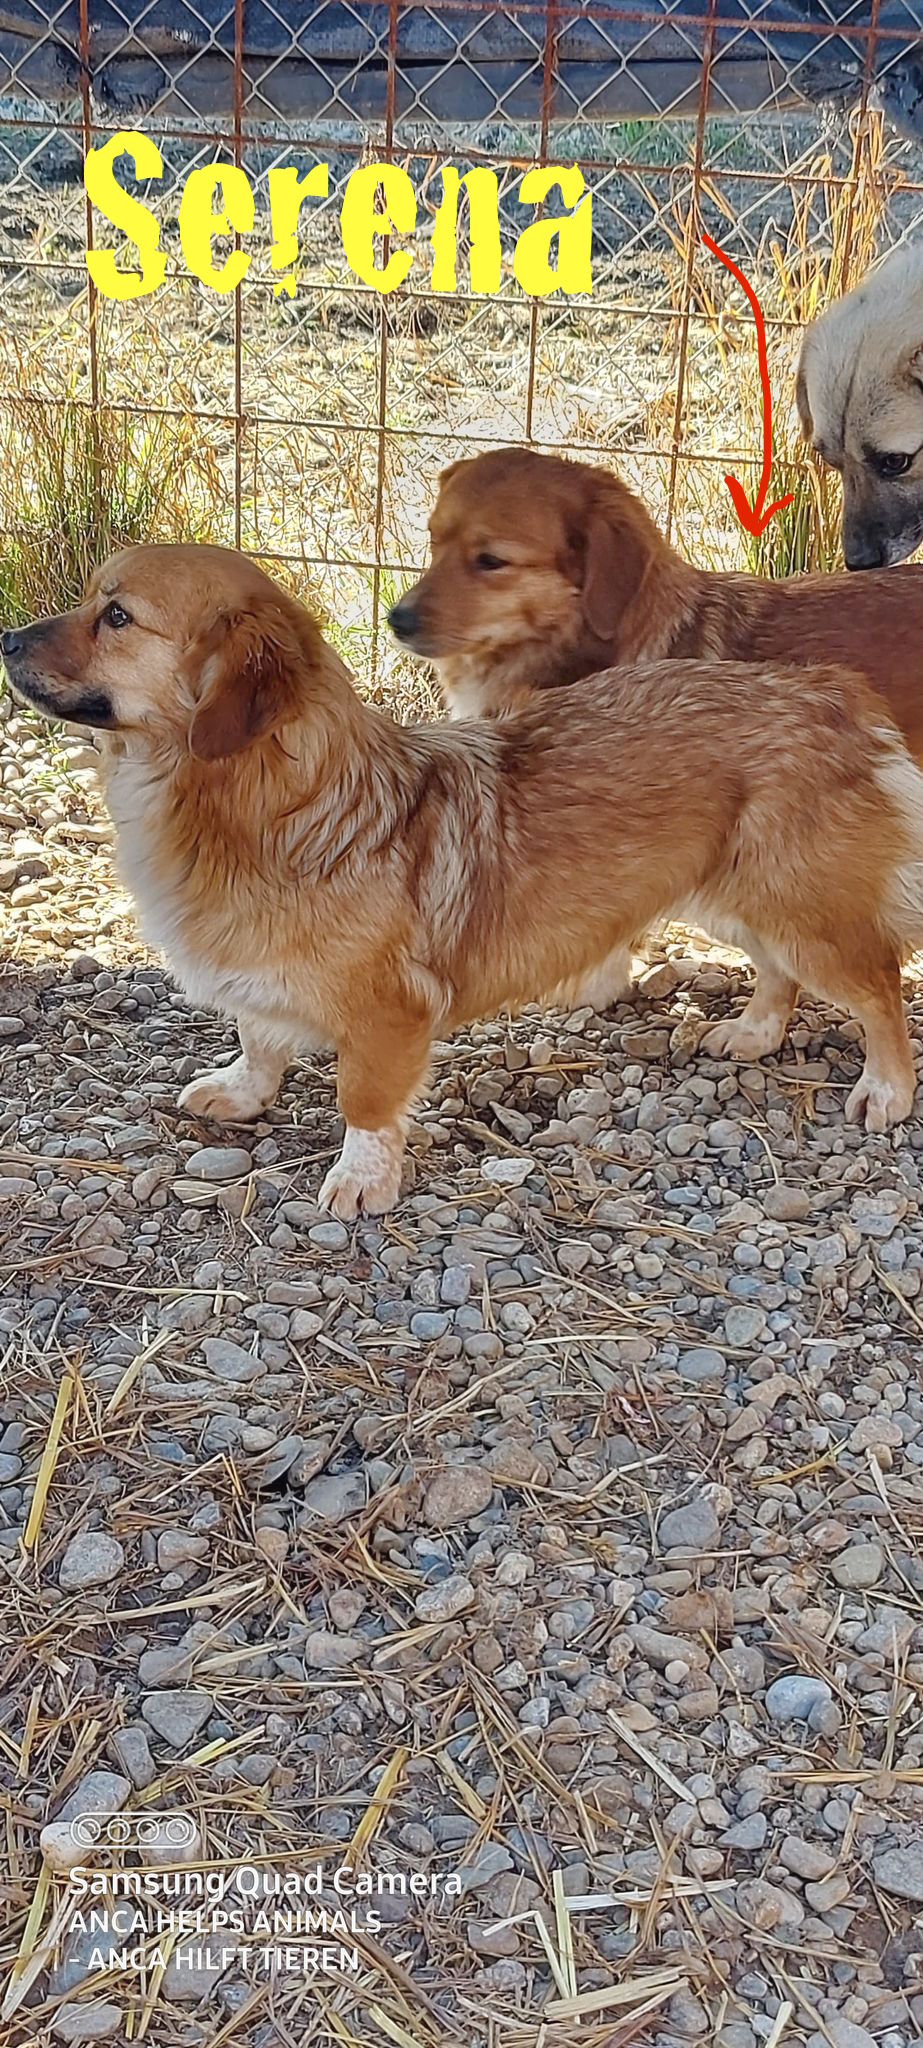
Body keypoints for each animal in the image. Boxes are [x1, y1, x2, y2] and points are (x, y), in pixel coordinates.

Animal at [6, 545, 923, 1221]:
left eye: (117, 616)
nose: (8, 639)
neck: (269, 803)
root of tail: (826, 691)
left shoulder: (387, 1015)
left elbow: (364, 1104)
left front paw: (363, 1181)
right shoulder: (261, 977)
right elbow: (260, 1038)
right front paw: (242, 1091)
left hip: (796, 907)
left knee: (877, 988)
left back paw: (884, 1090)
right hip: (734, 897)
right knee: (777, 972)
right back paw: (755, 1033)